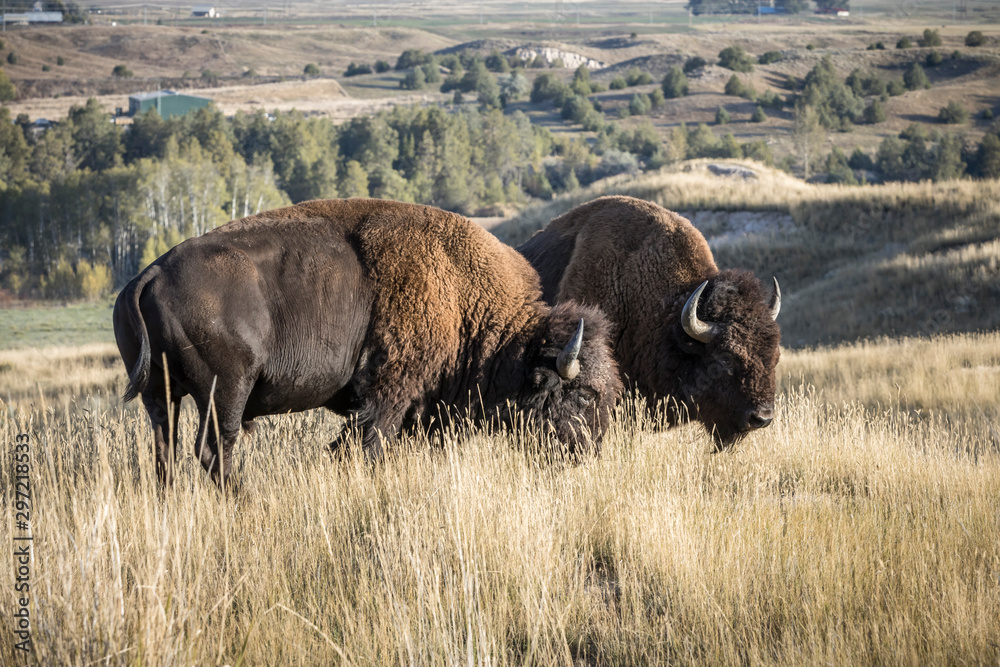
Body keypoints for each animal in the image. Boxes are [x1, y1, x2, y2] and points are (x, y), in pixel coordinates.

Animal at [115, 198, 616, 486]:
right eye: (583, 397)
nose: (589, 454)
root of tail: (149, 274)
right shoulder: (387, 395)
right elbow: (365, 444)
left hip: (160, 395)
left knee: (164, 449)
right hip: (226, 391)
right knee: (216, 449)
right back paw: (246, 499)